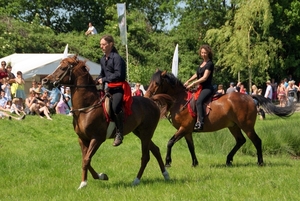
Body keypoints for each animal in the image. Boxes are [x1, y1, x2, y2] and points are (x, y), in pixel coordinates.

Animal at [42, 55, 173, 189]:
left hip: (146, 133)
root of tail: (152, 101)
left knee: (145, 156)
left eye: (63, 68)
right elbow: (86, 160)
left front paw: (84, 183)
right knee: (155, 150)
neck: (87, 108)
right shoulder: (82, 139)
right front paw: (99, 177)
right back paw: (165, 175)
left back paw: (136, 180)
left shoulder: (97, 139)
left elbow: (86, 160)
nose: (45, 81)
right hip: (140, 133)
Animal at [145, 70, 296, 167]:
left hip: (246, 126)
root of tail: (249, 96)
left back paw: (260, 162)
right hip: (233, 126)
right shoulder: (187, 131)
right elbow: (191, 147)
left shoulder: (184, 128)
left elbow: (170, 142)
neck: (180, 100)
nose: (146, 95)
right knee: (240, 141)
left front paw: (167, 162)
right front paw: (195, 163)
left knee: (256, 141)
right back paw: (228, 160)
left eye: (157, 83)